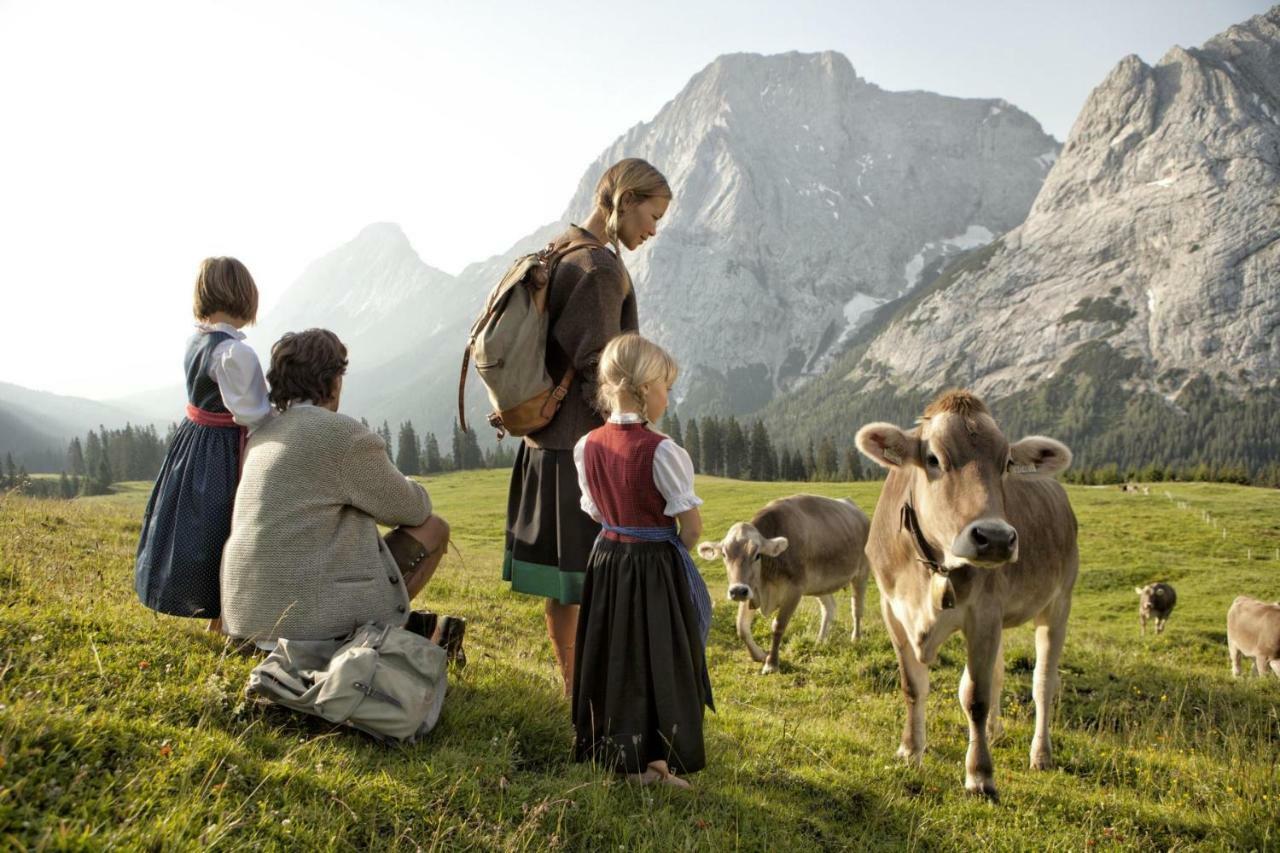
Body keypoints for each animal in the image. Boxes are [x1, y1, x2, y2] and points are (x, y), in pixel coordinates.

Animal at [701, 494, 870, 676]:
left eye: (757, 555)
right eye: (724, 555)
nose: (737, 591)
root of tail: (859, 513)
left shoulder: (794, 590)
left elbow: (778, 625)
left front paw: (772, 663)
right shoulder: (752, 589)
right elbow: (742, 627)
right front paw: (759, 655)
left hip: (862, 573)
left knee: (857, 609)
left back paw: (856, 639)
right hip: (820, 583)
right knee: (829, 608)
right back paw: (820, 641)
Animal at [855, 389, 1075, 799]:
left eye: (1006, 462)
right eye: (933, 459)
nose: (996, 538)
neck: (932, 568)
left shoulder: (984, 612)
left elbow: (975, 696)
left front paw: (980, 775)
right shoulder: (892, 609)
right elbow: (913, 686)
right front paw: (910, 750)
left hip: (1059, 603)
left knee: (1043, 683)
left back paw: (1041, 754)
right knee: (1000, 672)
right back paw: (995, 731)